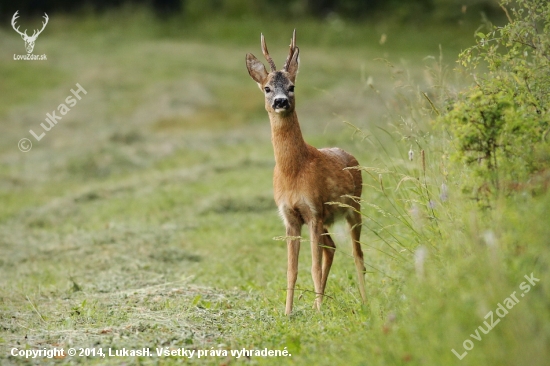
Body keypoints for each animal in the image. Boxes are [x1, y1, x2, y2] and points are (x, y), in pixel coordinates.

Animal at [247, 30, 368, 314]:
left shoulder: (313, 211)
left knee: (357, 254)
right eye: (267, 88)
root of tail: (349, 154)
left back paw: (365, 301)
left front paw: (319, 311)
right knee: (332, 248)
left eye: (292, 86)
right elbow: (291, 270)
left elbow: (312, 266)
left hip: (353, 208)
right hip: (328, 217)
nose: (280, 101)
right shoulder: (291, 217)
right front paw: (289, 311)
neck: (293, 171)